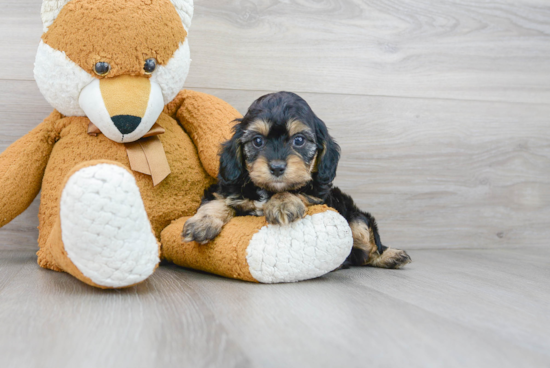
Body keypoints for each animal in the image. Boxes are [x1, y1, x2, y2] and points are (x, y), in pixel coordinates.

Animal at [183, 91, 412, 270]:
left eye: (299, 140)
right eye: (258, 141)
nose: (277, 167)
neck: (269, 190)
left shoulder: (319, 197)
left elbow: (298, 191)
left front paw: (282, 203)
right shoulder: (225, 188)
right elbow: (218, 201)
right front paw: (202, 223)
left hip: (357, 220)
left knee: (369, 248)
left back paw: (391, 255)